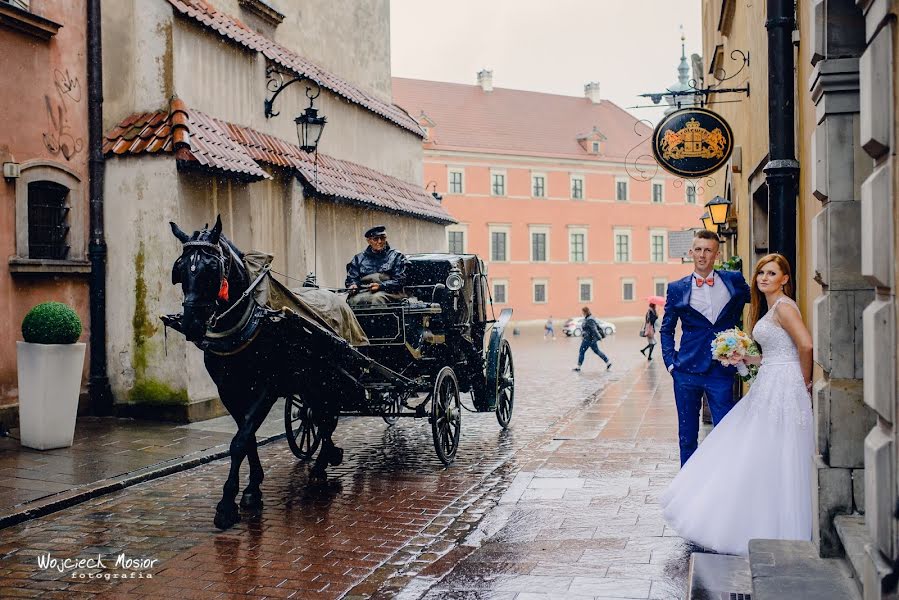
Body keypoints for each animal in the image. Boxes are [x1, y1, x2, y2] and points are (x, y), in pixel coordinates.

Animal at [169, 218, 348, 528]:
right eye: (180, 268)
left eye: (212, 268)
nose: (192, 325)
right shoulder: (229, 390)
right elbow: (247, 436)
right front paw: (252, 489)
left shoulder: (267, 388)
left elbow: (240, 440)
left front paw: (227, 504)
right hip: (310, 381)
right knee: (318, 415)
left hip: (328, 379)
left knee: (328, 417)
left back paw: (323, 461)